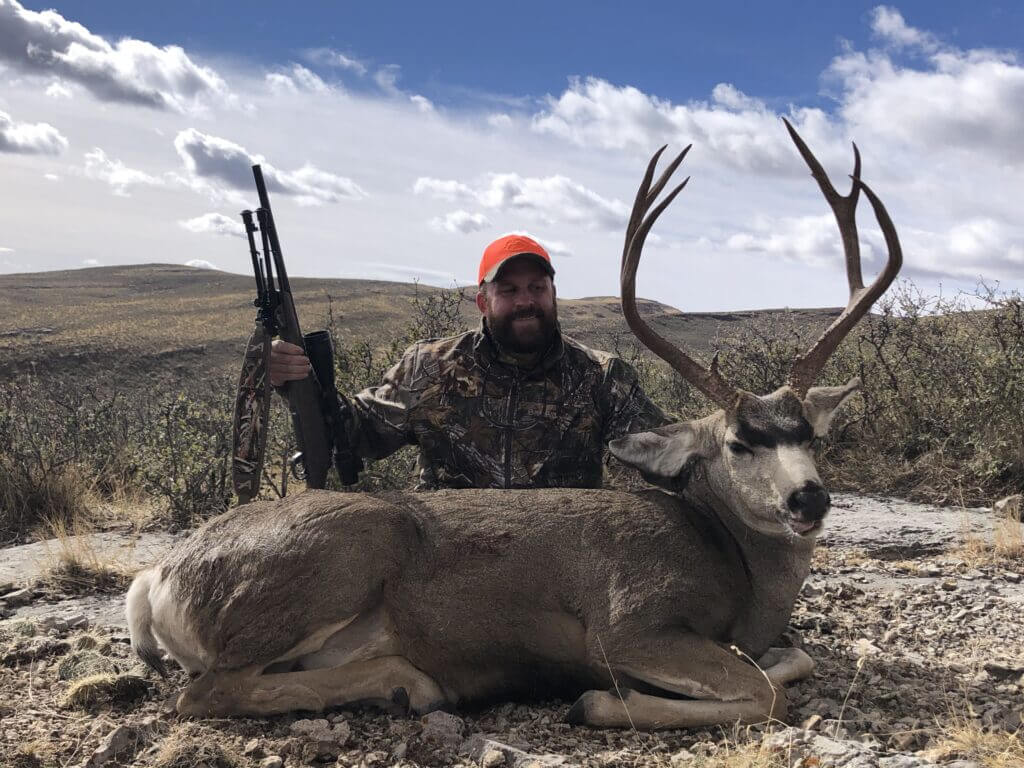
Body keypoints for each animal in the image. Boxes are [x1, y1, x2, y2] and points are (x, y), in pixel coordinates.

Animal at [125, 119, 902, 729]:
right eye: (740, 442)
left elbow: (790, 661)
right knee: (204, 693)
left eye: (809, 434)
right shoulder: (630, 622)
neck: (728, 563)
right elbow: (765, 690)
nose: (810, 497)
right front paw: (597, 701)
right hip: (344, 553)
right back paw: (410, 682)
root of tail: (158, 576)